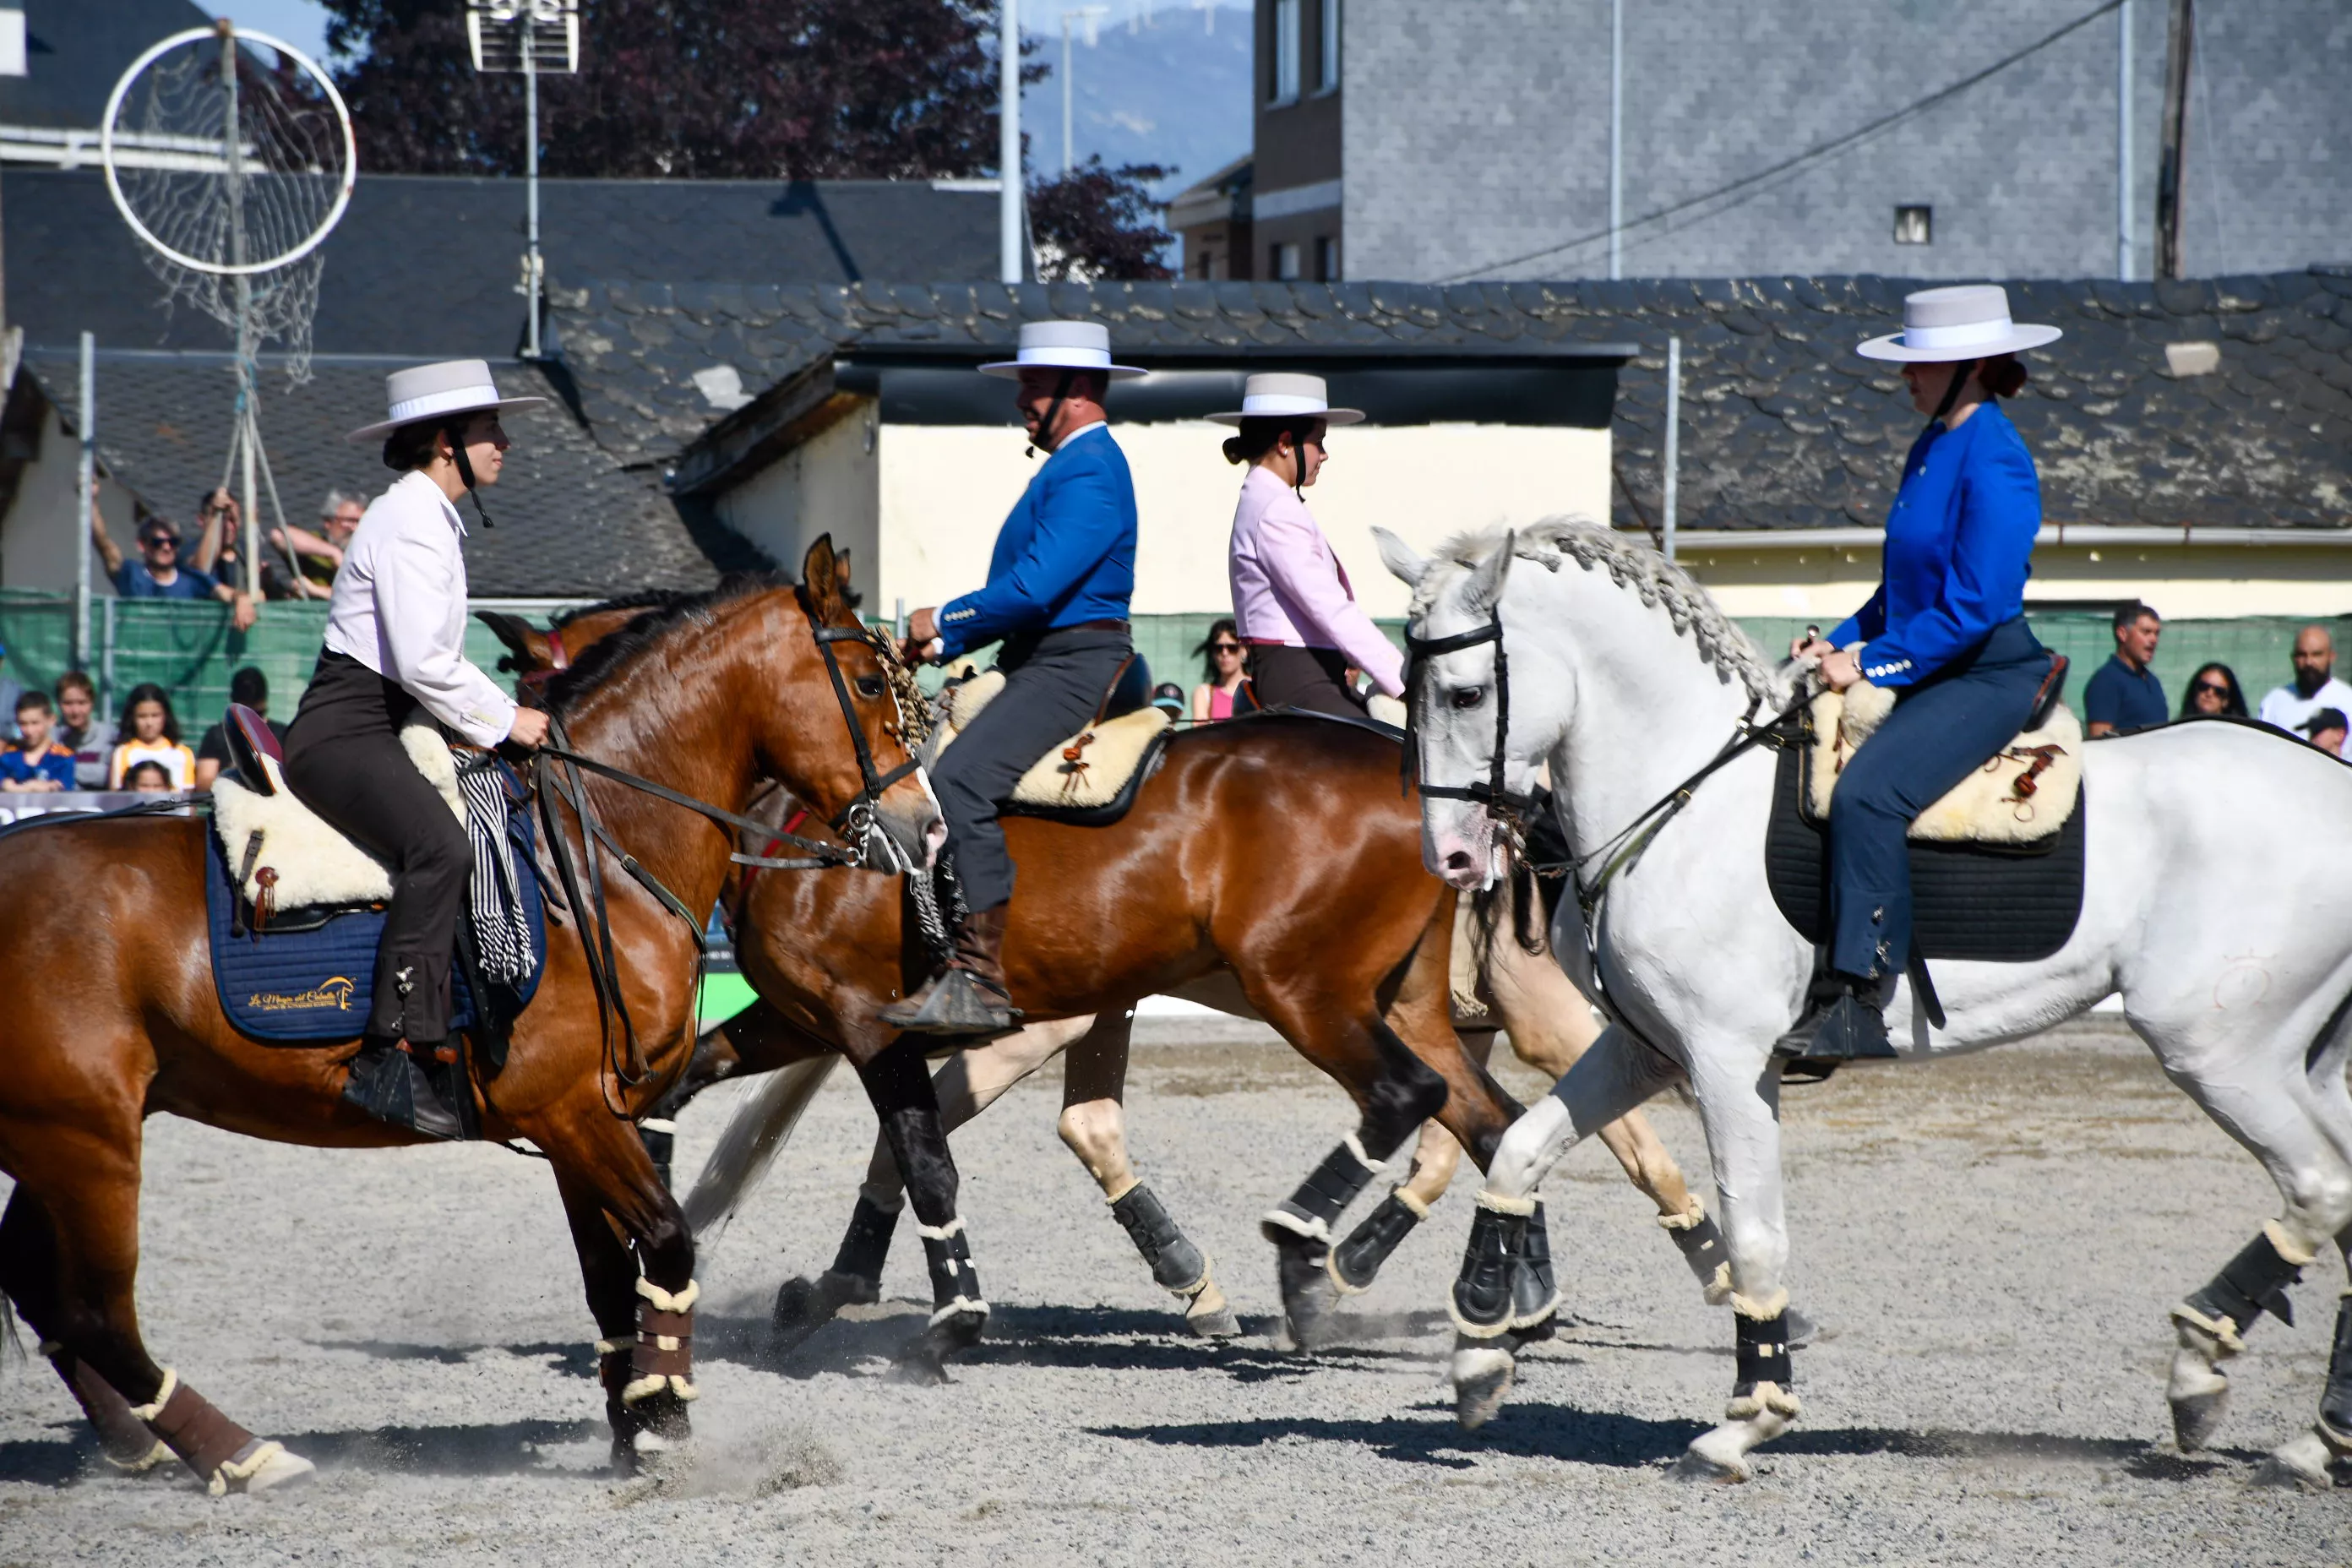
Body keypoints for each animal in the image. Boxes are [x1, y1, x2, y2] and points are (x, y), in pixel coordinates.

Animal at [0, 545, 931, 1494]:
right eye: (866, 683)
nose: (922, 827)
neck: (593, 850)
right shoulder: (574, 1112)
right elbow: (669, 1245)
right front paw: (666, 1420)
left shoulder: (579, 1122)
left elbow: (608, 1281)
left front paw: (631, 1423)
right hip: (89, 1145)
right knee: (94, 1309)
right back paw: (237, 1452)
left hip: (61, 1139)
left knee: (45, 1290)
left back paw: (139, 1442)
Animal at [482, 606, 1731, 1363]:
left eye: (546, 689)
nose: (521, 808)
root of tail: (1427, 778)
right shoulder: (801, 1018)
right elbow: (697, 1086)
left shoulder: (881, 1022)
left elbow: (922, 1146)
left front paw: (945, 1311)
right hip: (1410, 1006)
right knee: (1486, 1119)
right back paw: (1508, 1298)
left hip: (1321, 992)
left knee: (1438, 1108)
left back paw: (1321, 1259)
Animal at [1373, 521, 2352, 1494]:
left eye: (1465, 691)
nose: (1450, 859)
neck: (1686, 792)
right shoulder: (1644, 1048)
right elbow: (1521, 1150)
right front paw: (1481, 1350)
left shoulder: (1729, 1062)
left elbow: (1754, 1235)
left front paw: (1748, 1419)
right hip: (2293, 1060)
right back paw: (2316, 1441)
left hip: (2220, 1050)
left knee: (2318, 1187)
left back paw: (2201, 1368)